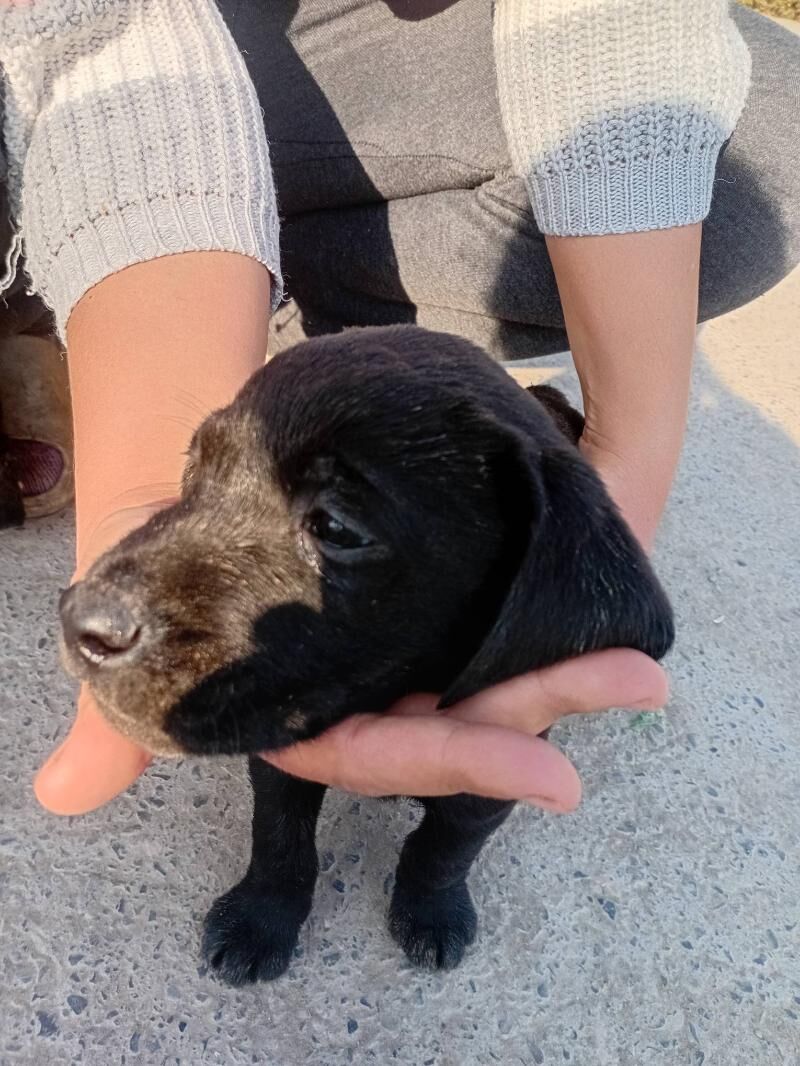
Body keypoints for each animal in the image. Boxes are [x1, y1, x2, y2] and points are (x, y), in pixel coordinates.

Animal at [59, 325, 674, 984]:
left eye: (336, 527)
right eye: (194, 468)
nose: (78, 619)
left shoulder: (494, 783)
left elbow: (443, 849)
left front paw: (431, 911)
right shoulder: (278, 755)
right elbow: (279, 837)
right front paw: (260, 918)